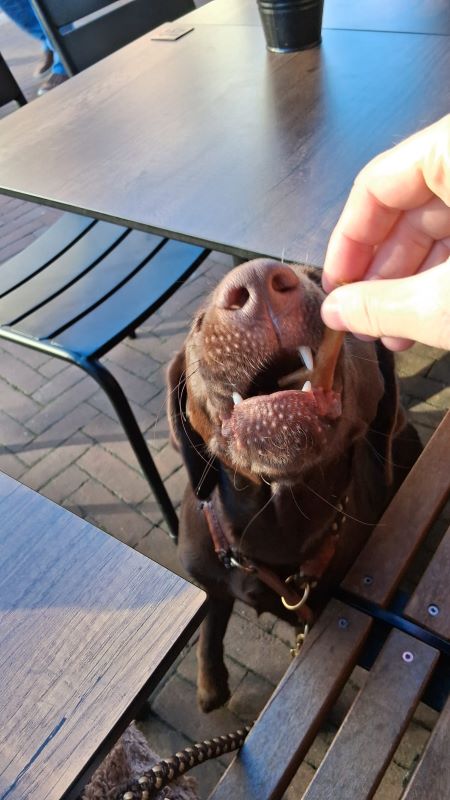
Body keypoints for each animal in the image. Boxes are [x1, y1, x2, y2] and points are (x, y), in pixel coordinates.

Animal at [167, 258, 421, 712]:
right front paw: (210, 685)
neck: (275, 525)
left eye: (323, 282)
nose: (256, 281)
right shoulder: (209, 576)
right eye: (196, 324)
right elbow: (210, 622)